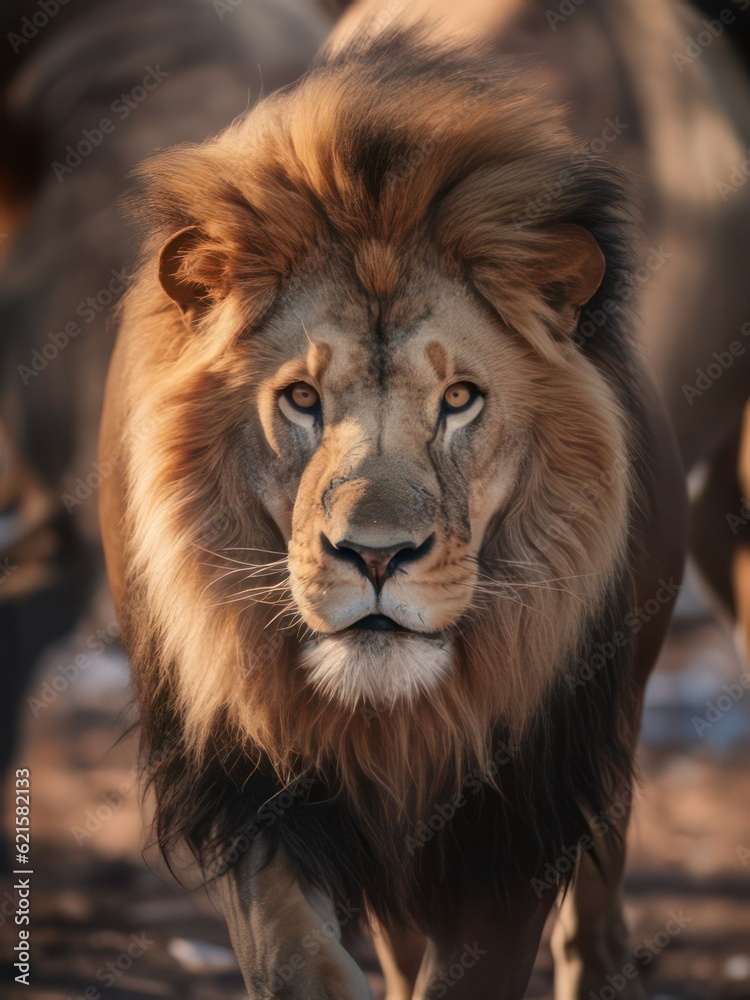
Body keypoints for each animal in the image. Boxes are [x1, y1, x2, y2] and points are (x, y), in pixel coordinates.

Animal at [101, 1, 750, 1000]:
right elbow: (289, 953)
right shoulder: (249, 788)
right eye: (301, 398)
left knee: (597, 899)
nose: (376, 557)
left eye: (460, 398)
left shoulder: (516, 814)